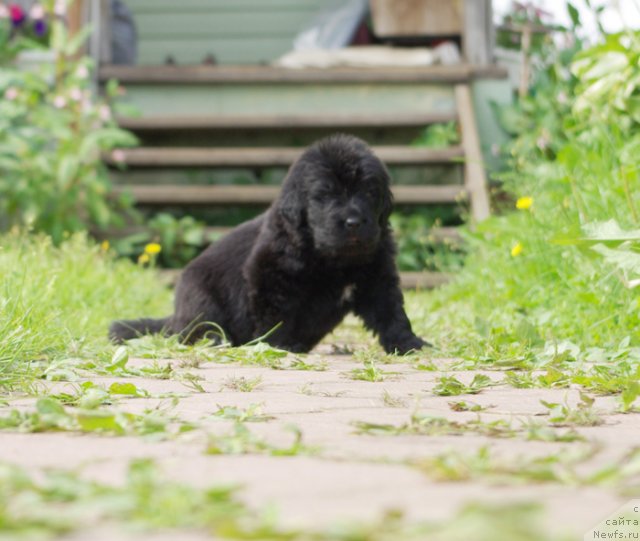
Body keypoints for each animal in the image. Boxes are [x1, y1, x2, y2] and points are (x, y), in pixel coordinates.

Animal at [110, 134, 428, 354]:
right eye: (325, 195)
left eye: (369, 192)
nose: (353, 222)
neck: (335, 259)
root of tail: (175, 316)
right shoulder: (271, 277)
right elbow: (276, 316)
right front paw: (278, 346)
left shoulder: (377, 277)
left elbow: (392, 312)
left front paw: (409, 343)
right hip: (199, 295)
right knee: (197, 329)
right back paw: (215, 340)